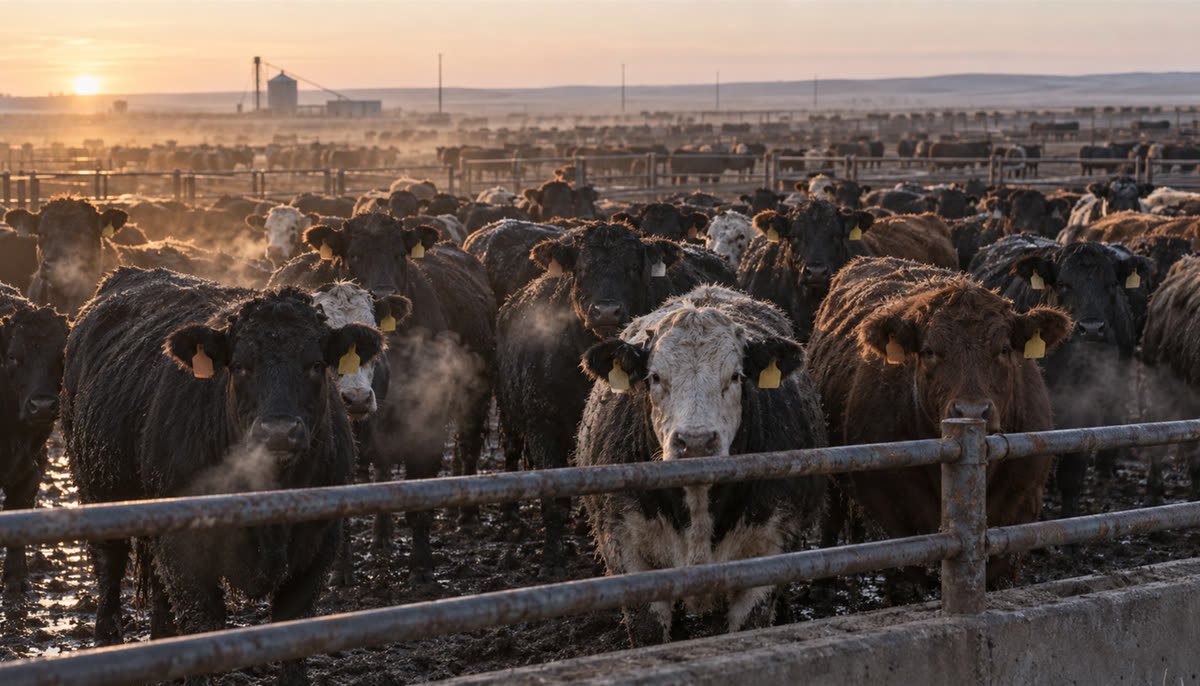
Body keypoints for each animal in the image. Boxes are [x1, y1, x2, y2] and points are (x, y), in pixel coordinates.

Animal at [62, 268, 381, 684]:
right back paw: (107, 644)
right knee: (110, 568)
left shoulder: (319, 547)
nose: (278, 432)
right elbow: (202, 626)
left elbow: (294, 632)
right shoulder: (186, 552)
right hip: (97, 491)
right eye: (241, 365)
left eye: (315, 364)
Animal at [268, 212, 496, 582]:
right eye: (354, 254)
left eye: (400, 253)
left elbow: (419, 501)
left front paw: (422, 568)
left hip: (476, 397)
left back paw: (464, 517)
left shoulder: (427, 426)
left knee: (469, 443)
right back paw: (382, 537)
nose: (358, 399)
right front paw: (342, 571)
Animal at [497, 222, 732, 577]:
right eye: (581, 269)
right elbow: (554, 502)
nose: (606, 310)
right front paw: (550, 561)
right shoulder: (542, 427)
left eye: (633, 267)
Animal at [807, 256, 1071, 589]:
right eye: (929, 350)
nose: (972, 410)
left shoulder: (1022, 506)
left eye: (1004, 349)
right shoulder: (891, 516)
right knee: (832, 518)